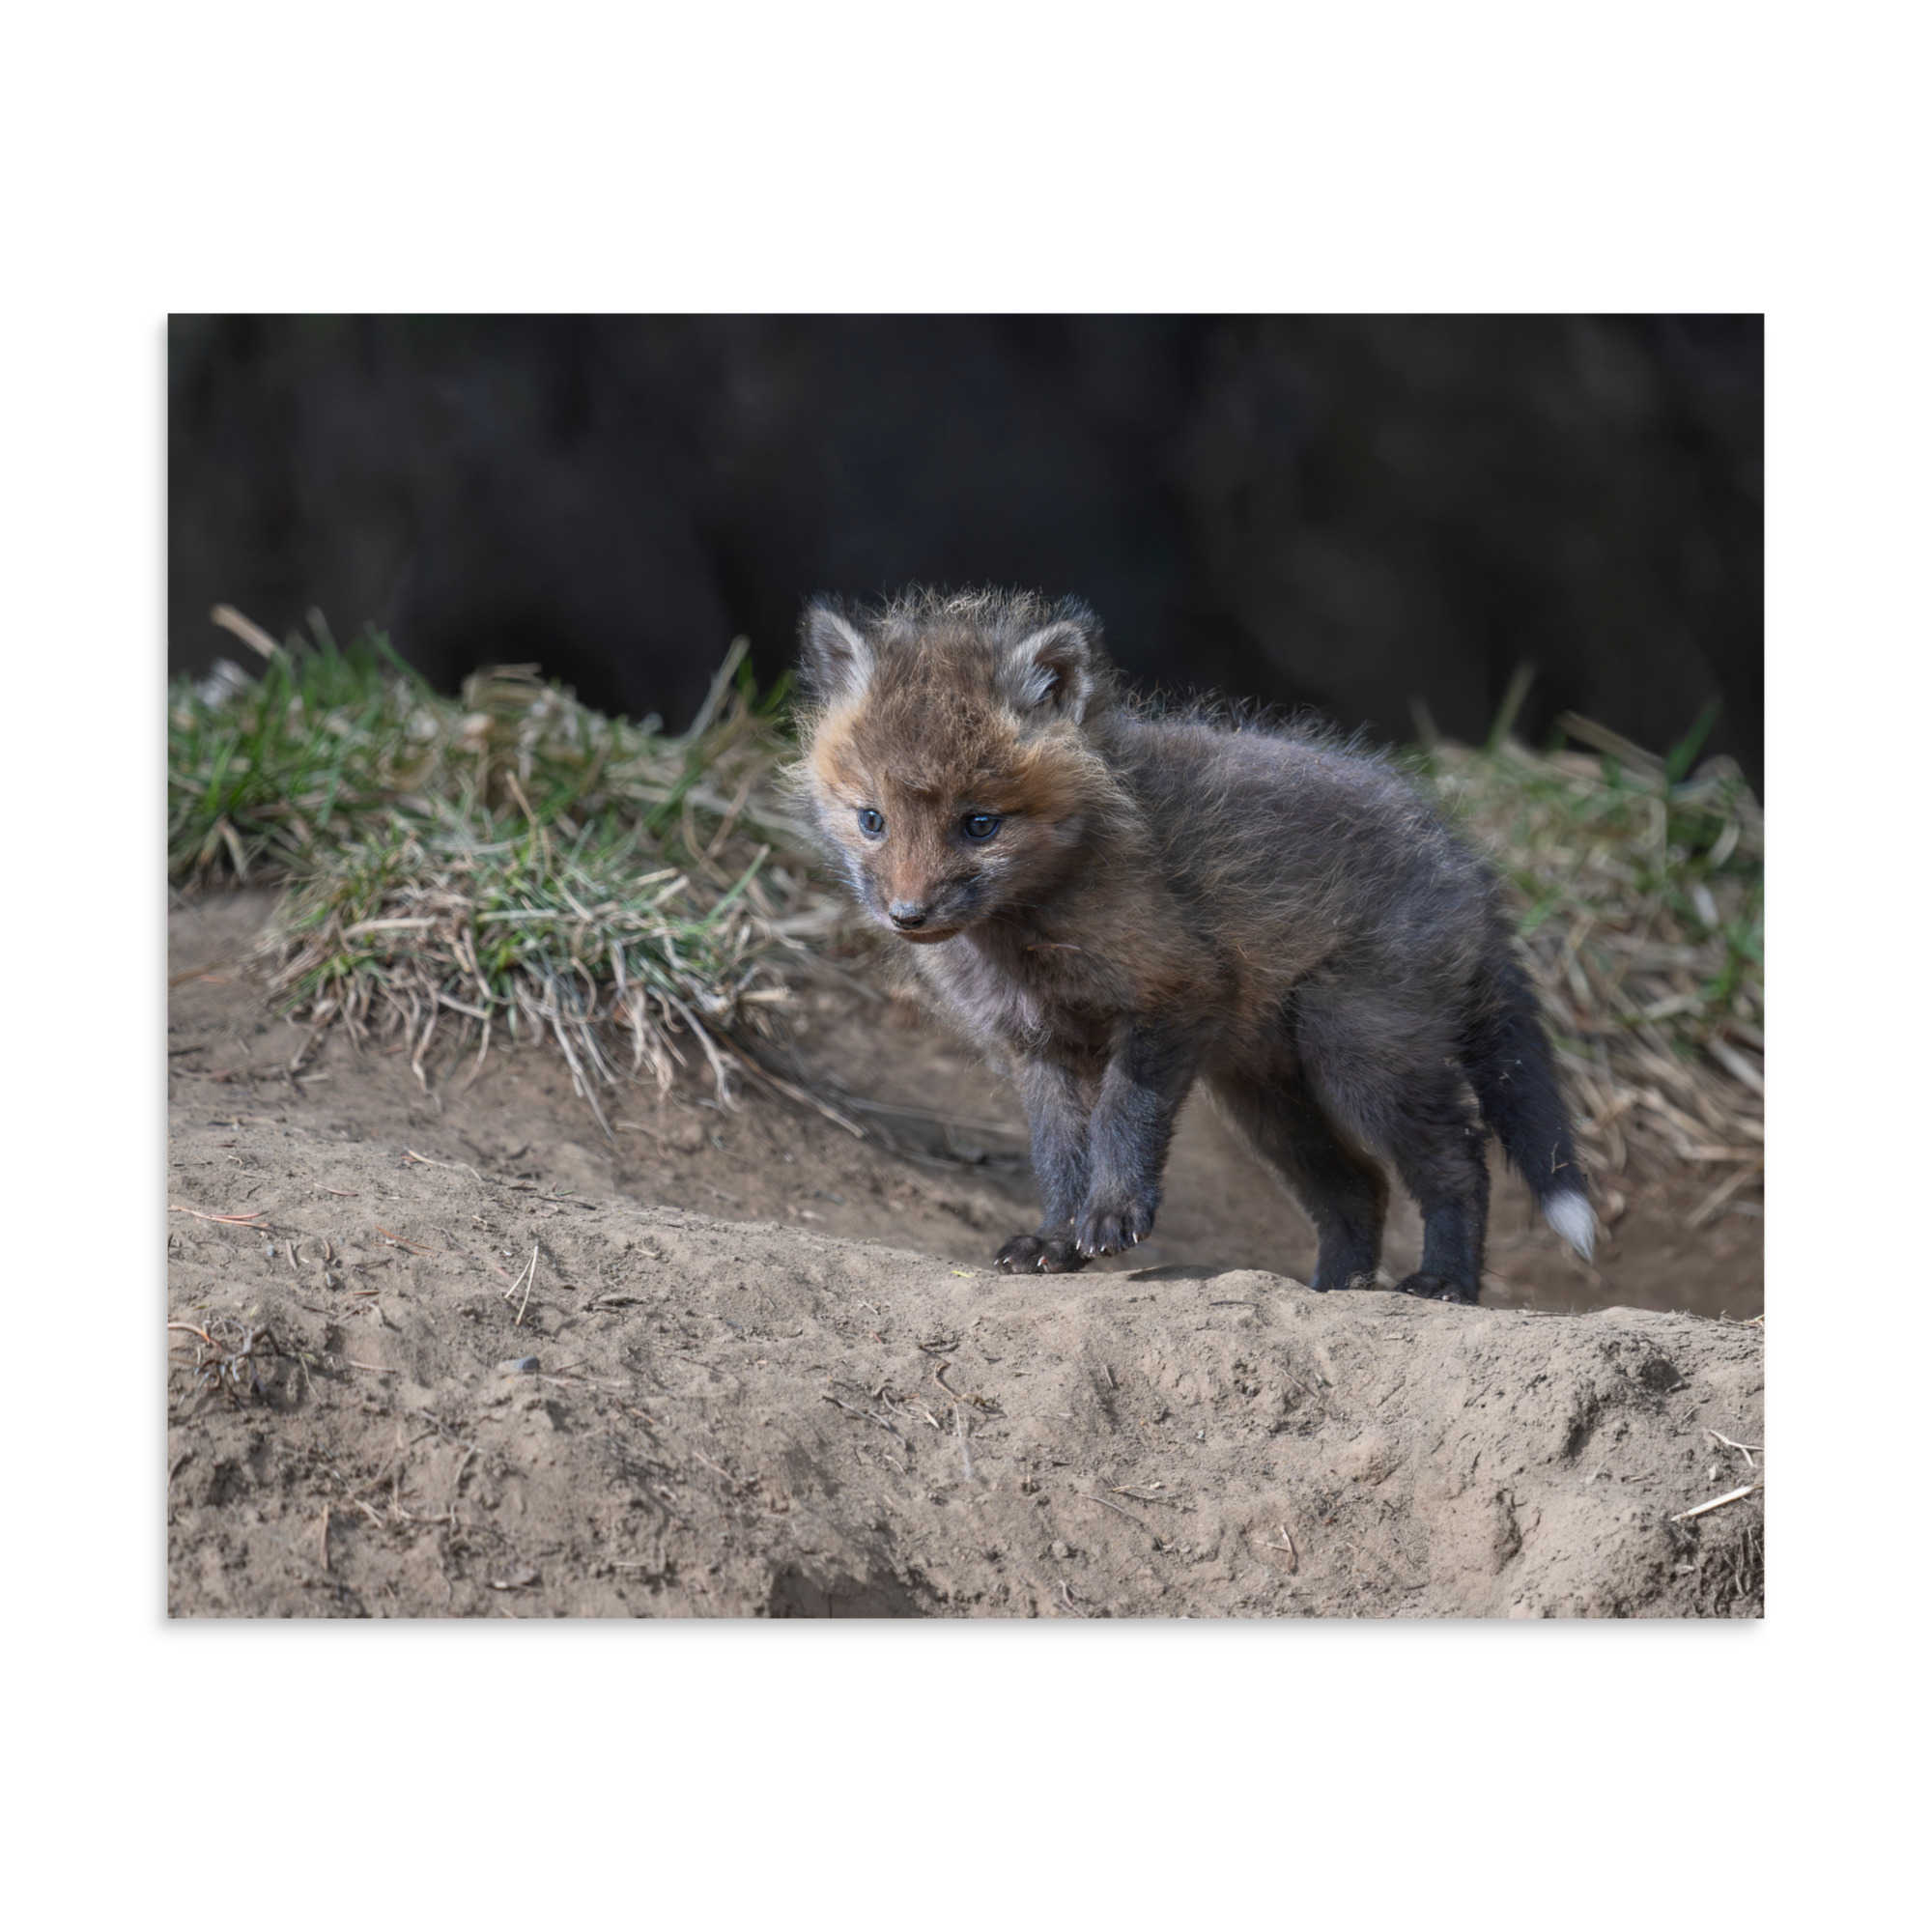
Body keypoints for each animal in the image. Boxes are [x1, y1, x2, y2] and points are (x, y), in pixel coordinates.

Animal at [792, 586, 1594, 1303]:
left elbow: (1122, 1118)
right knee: (1358, 1188)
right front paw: (1055, 1240)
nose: (908, 915)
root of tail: (1468, 863)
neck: (1028, 936)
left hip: (1361, 1056)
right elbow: (1058, 1154)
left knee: (1459, 1161)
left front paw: (1113, 1215)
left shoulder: (1174, 995)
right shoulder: (1038, 1045)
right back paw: (1334, 1289)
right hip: (1267, 1096)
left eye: (979, 824)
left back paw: (1445, 1282)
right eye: (872, 820)